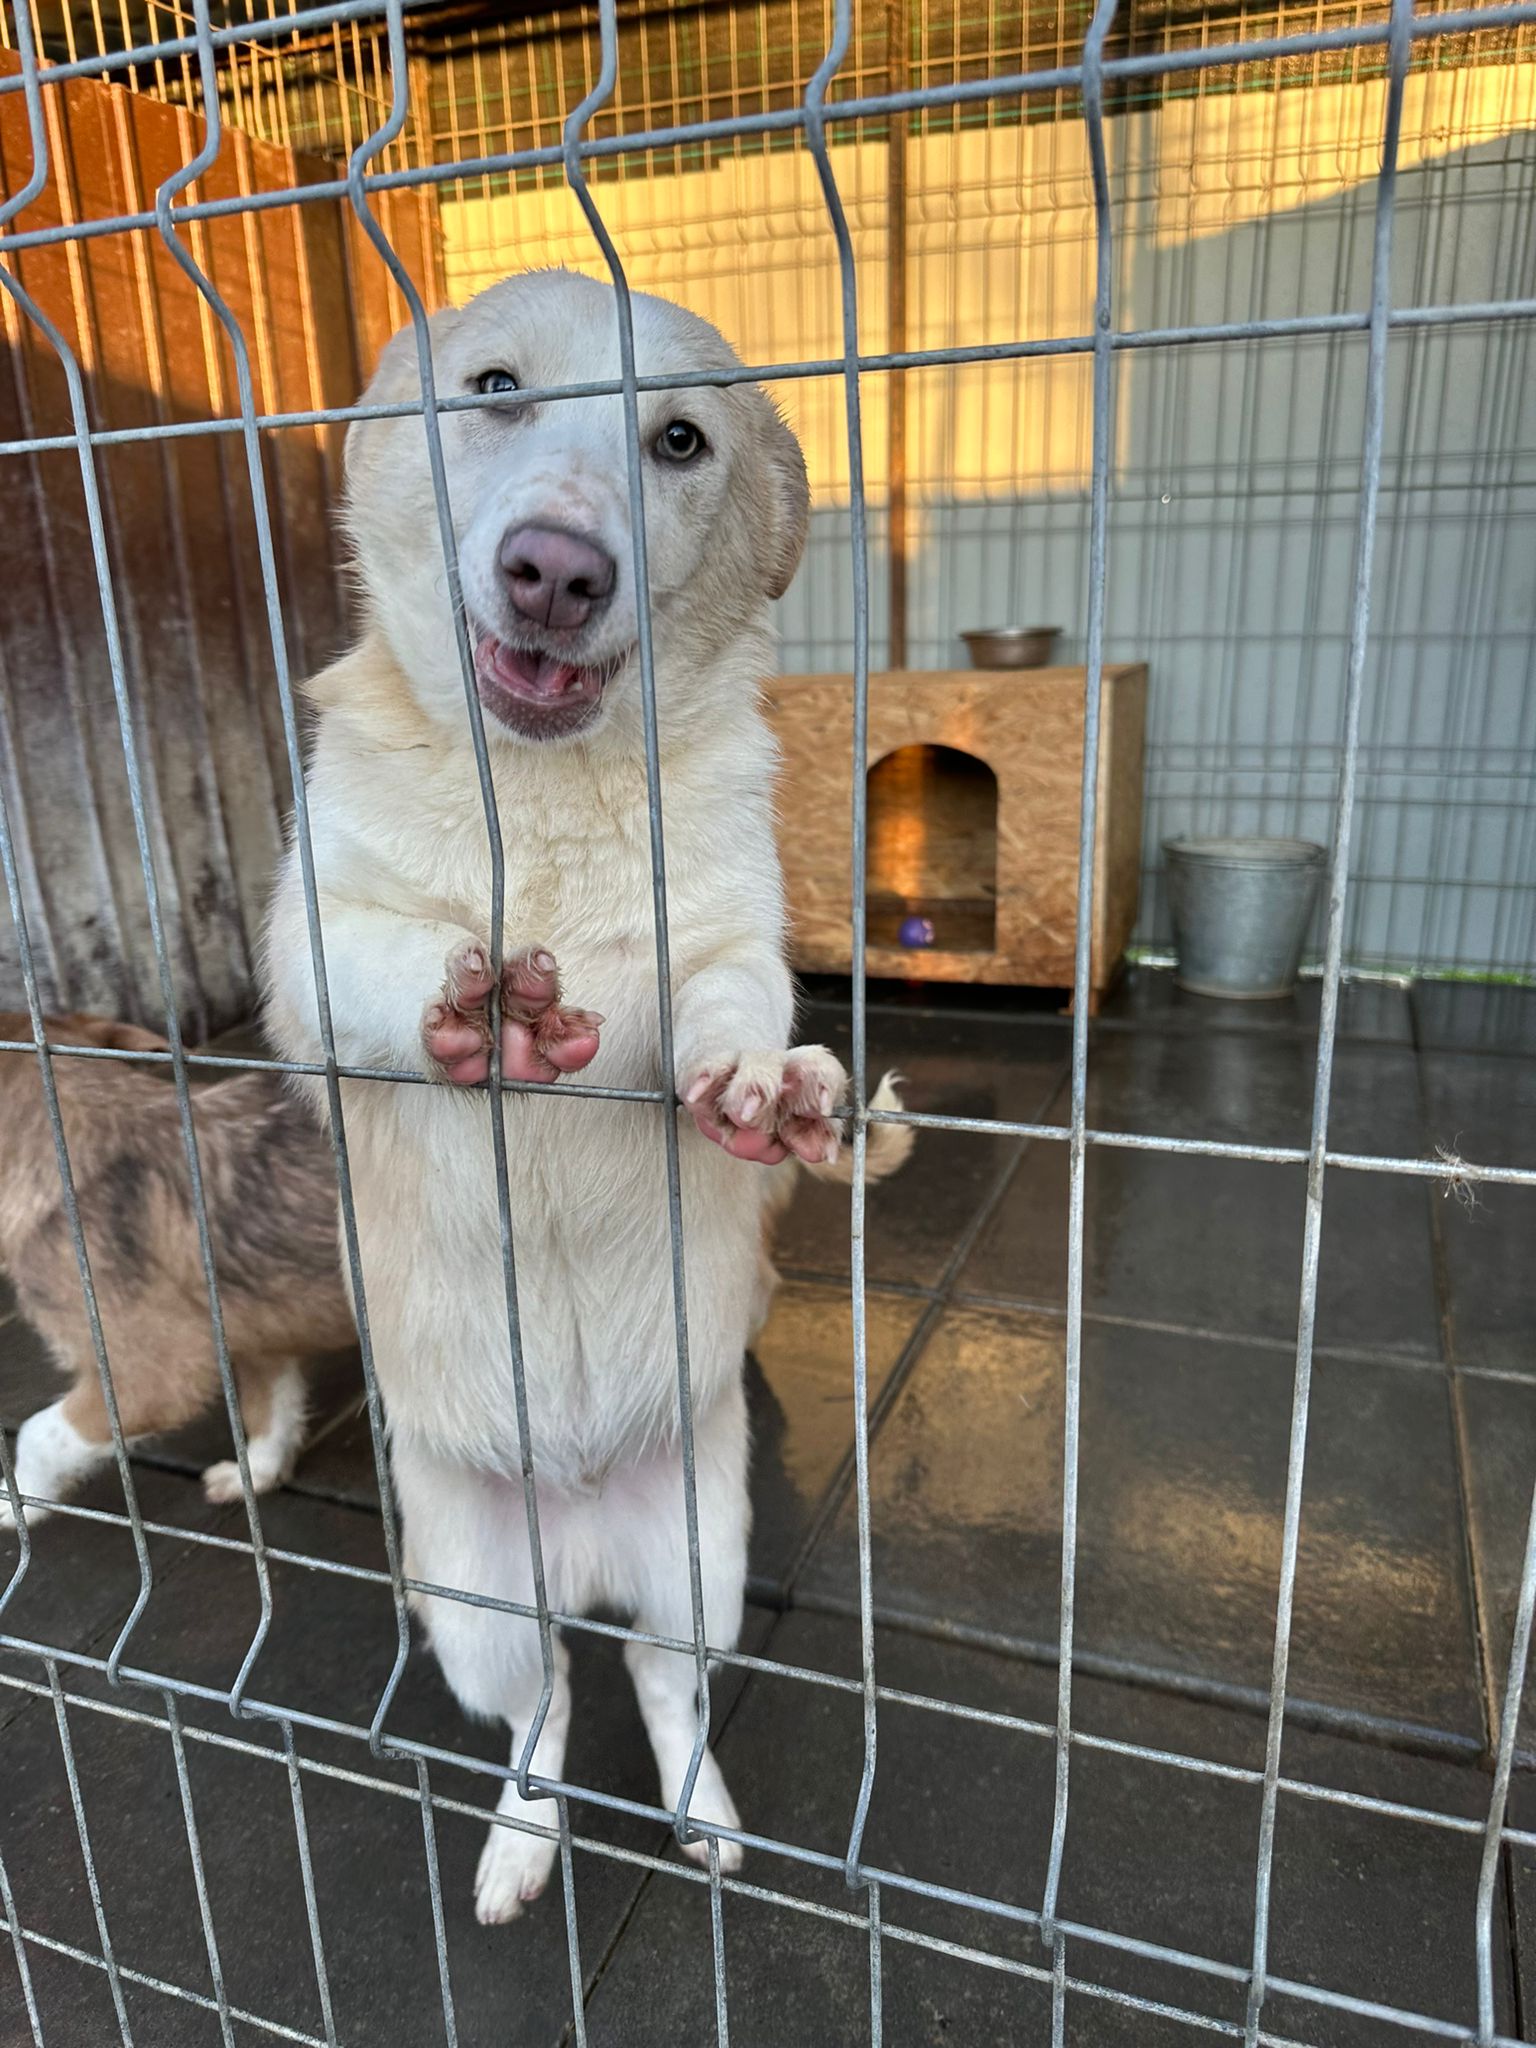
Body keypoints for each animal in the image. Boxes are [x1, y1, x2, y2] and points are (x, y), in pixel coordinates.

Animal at [0, 1012, 355, 1527]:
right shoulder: (261, 1338)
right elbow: (271, 1411)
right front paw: (255, 1475)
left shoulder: (152, 1379)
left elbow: (37, 1432)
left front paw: (15, 1501)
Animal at [262, 268, 910, 1924]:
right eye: (494, 388)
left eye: (680, 439)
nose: (557, 571)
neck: (541, 795)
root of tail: (580, 1528)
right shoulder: (308, 943)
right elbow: (382, 960)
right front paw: (471, 1002)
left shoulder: (728, 936)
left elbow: (727, 1009)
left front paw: (760, 1086)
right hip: (474, 1602)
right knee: (546, 1707)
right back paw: (518, 1844)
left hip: (700, 1560)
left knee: (661, 1688)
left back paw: (702, 1815)